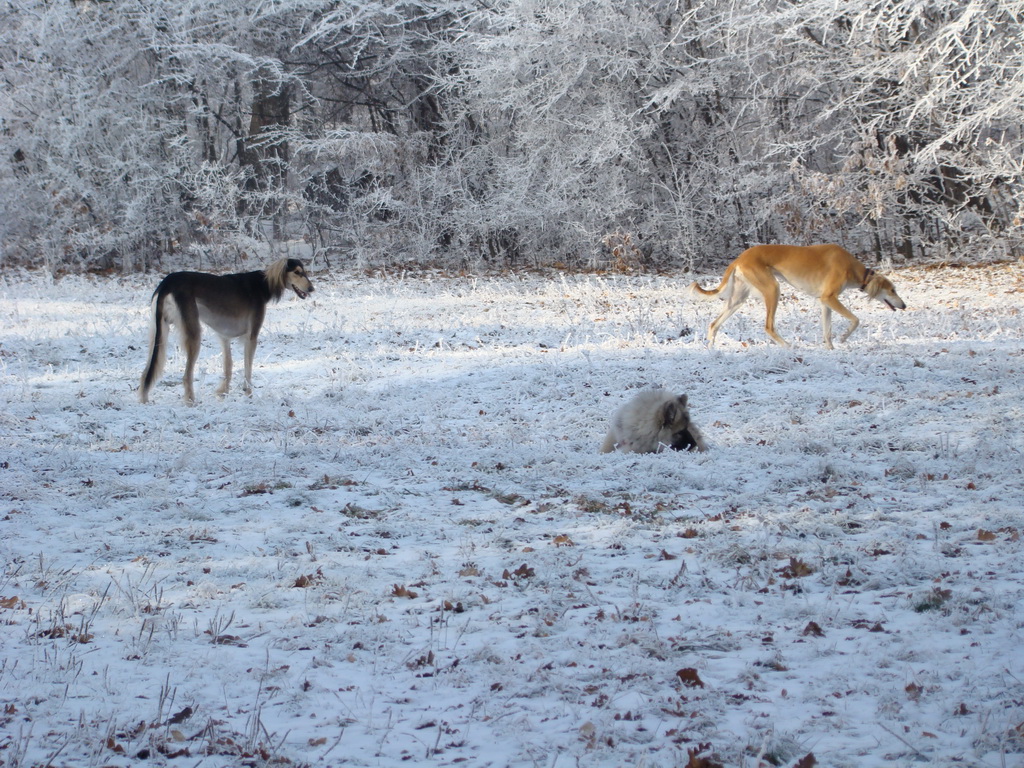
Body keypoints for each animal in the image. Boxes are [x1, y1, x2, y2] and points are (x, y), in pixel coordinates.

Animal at [688, 244, 905, 350]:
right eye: (893, 290)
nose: (903, 306)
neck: (852, 267)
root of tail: (740, 258)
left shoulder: (824, 302)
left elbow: (827, 331)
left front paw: (831, 349)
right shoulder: (830, 298)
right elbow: (856, 320)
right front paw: (843, 338)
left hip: (738, 299)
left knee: (713, 324)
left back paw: (711, 348)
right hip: (772, 289)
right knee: (769, 326)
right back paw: (788, 346)